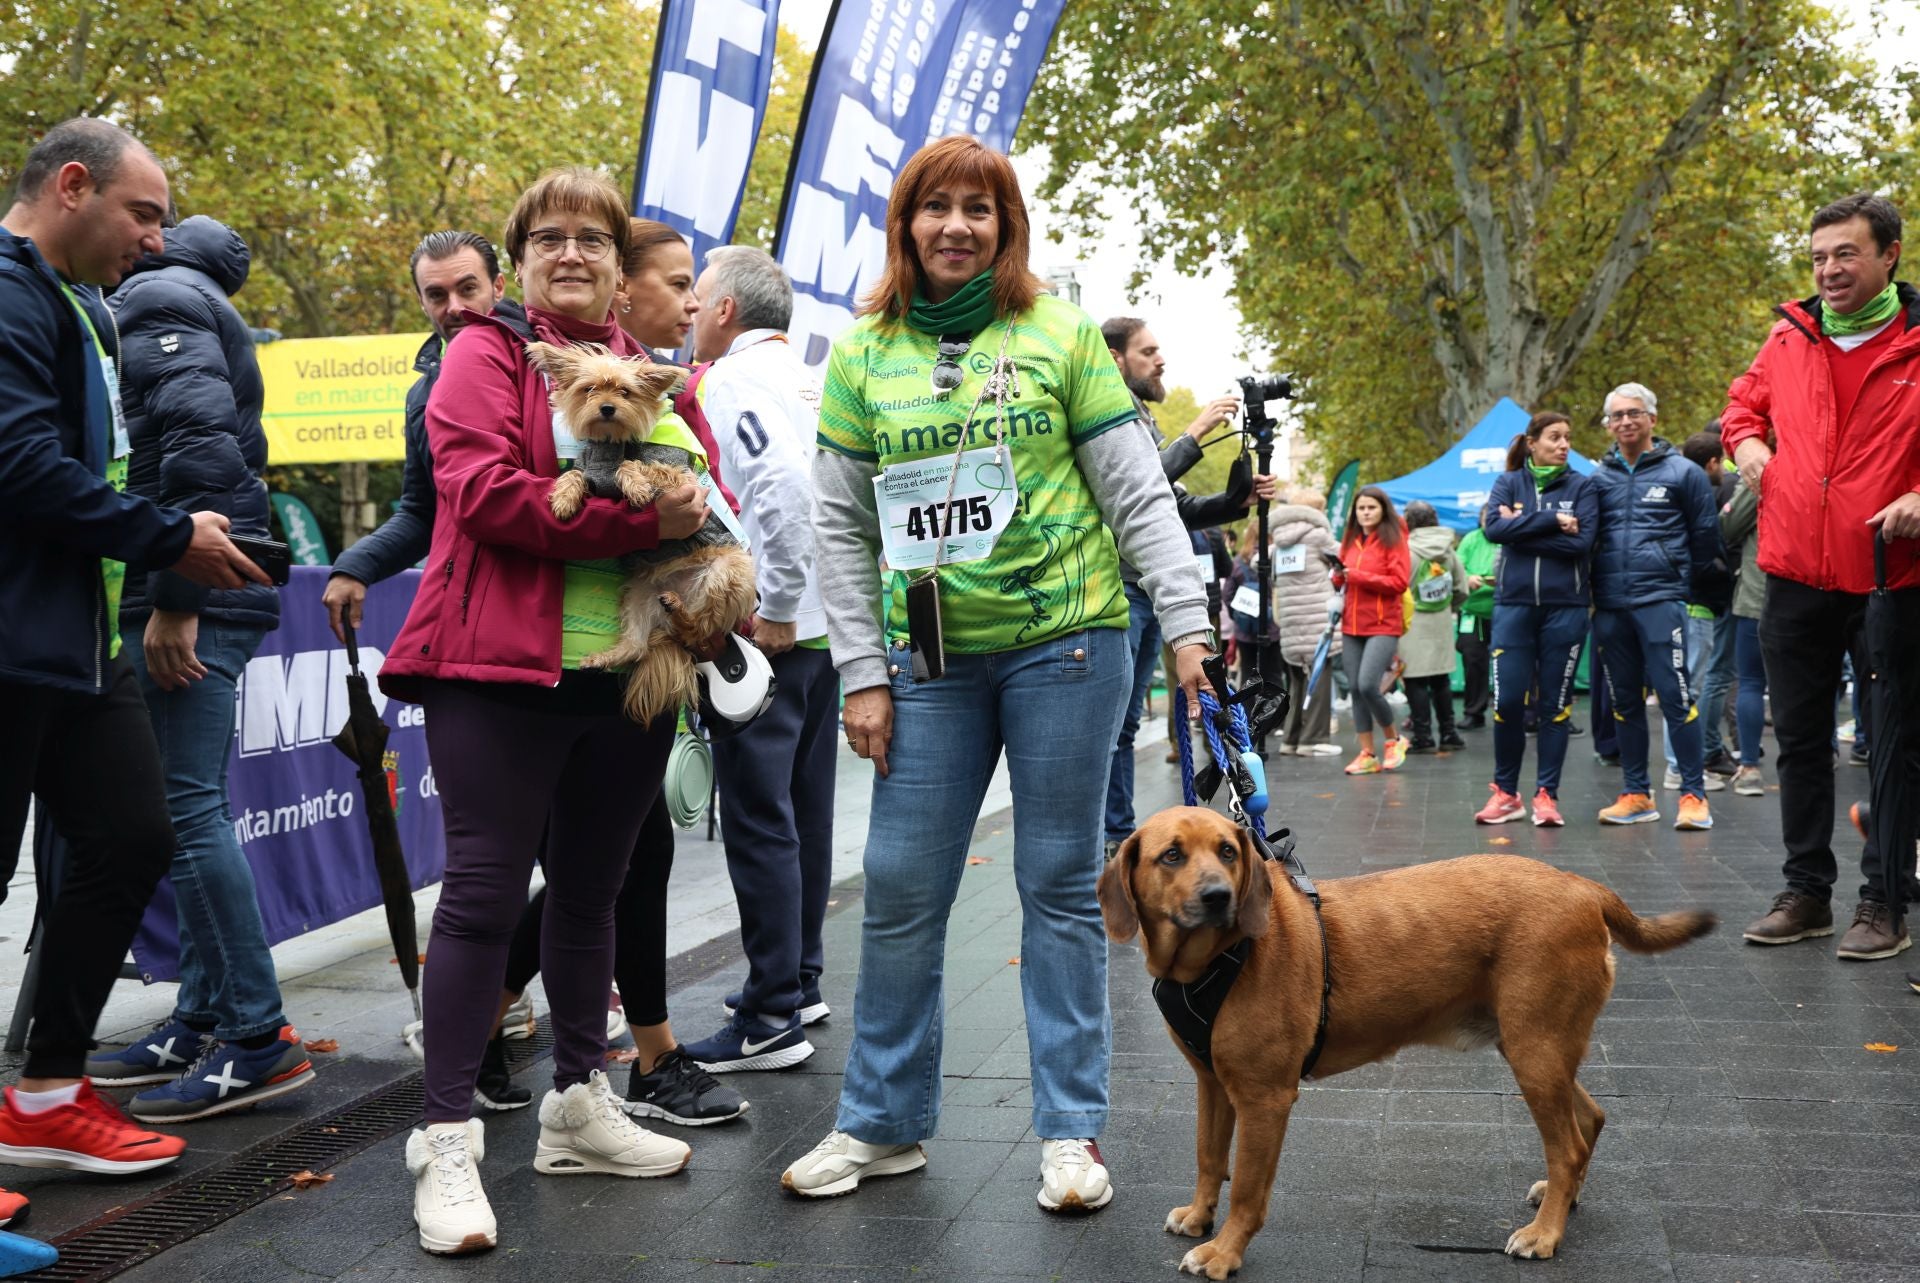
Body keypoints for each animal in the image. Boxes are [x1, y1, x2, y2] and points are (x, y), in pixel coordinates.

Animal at [1105, 806, 1720, 1275]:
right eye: (1172, 855)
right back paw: (1561, 1200)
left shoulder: (1264, 1100)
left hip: (1536, 1052)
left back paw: (1545, 1234)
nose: (1217, 896)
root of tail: (1585, 887)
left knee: (1567, 1143)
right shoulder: (1212, 1082)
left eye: (1229, 852)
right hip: (1538, 1047)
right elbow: (1209, 1158)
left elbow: (1248, 1189)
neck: (1212, 961)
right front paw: (1199, 1216)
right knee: (1588, 1118)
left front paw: (1225, 1252)